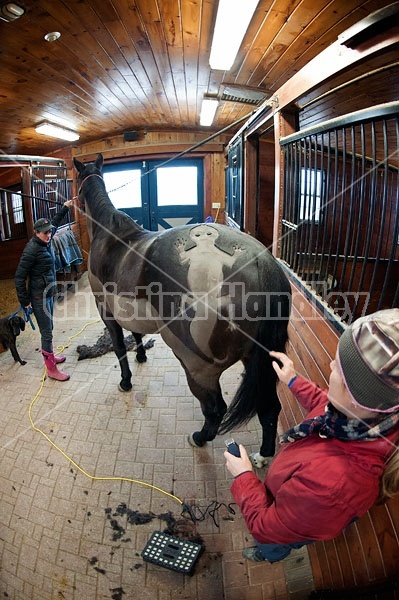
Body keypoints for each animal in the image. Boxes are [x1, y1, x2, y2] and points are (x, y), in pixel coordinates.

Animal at [73, 155, 292, 464]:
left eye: (79, 184)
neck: (110, 235)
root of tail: (262, 263)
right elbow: (136, 335)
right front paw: (141, 356)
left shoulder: (107, 313)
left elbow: (118, 347)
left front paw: (126, 381)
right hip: (260, 361)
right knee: (269, 407)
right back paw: (263, 455)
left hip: (198, 367)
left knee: (215, 409)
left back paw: (199, 438)